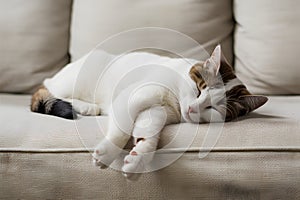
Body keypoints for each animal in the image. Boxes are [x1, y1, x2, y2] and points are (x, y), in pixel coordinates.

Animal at [30, 45, 268, 178]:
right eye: (198, 90)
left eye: (213, 109)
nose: (192, 108)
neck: (174, 102)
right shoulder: (132, 96)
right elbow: (121, 130)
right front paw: (107, 152)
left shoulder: (156, 110)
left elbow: (149, 132)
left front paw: (138, 158)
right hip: (75, 80)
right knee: (49, 91)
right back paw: (86, 106)